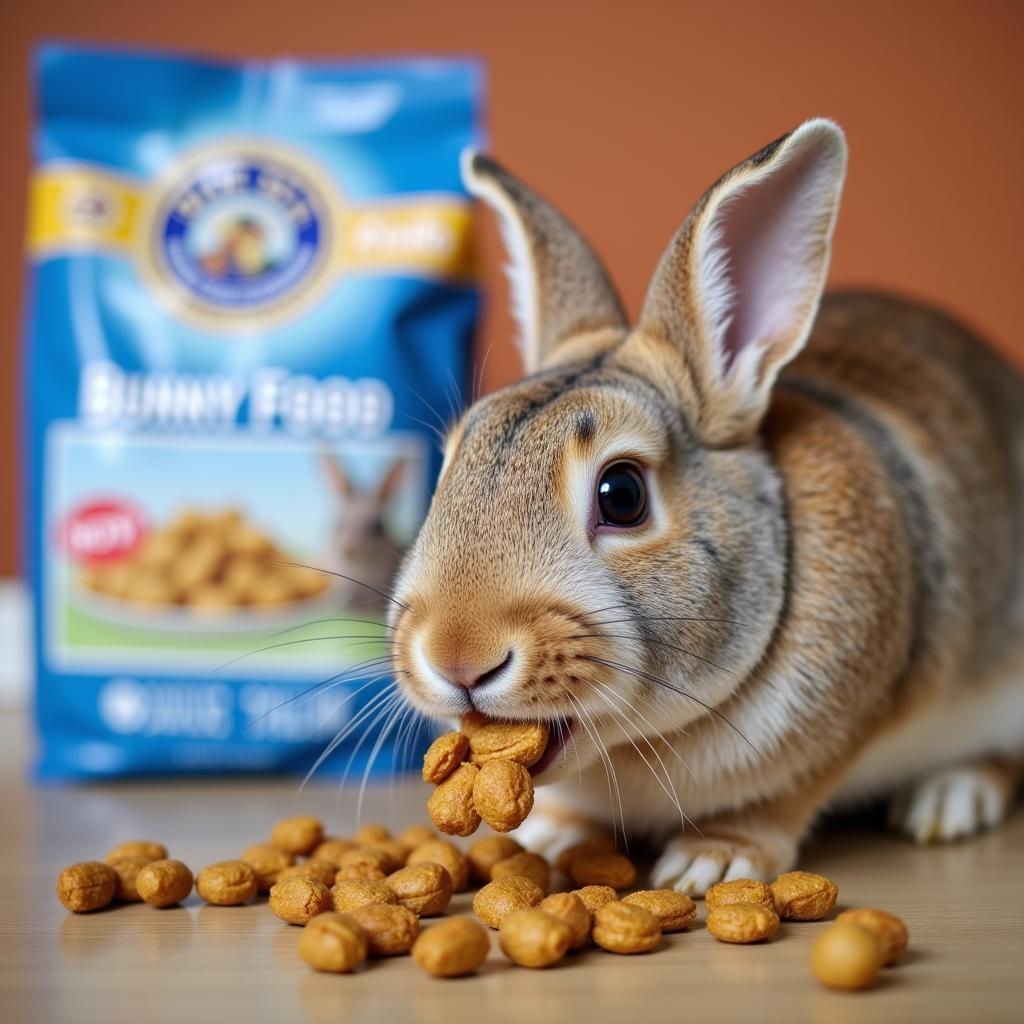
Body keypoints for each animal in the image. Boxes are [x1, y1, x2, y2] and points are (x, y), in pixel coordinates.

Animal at [385, 116, 1024, 892]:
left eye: (622, 494)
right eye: (449, 466)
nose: (457, 658)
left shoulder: (841, 725)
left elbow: (781, 798)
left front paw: (708, 864)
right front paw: (551, 838)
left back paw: (949, 799)